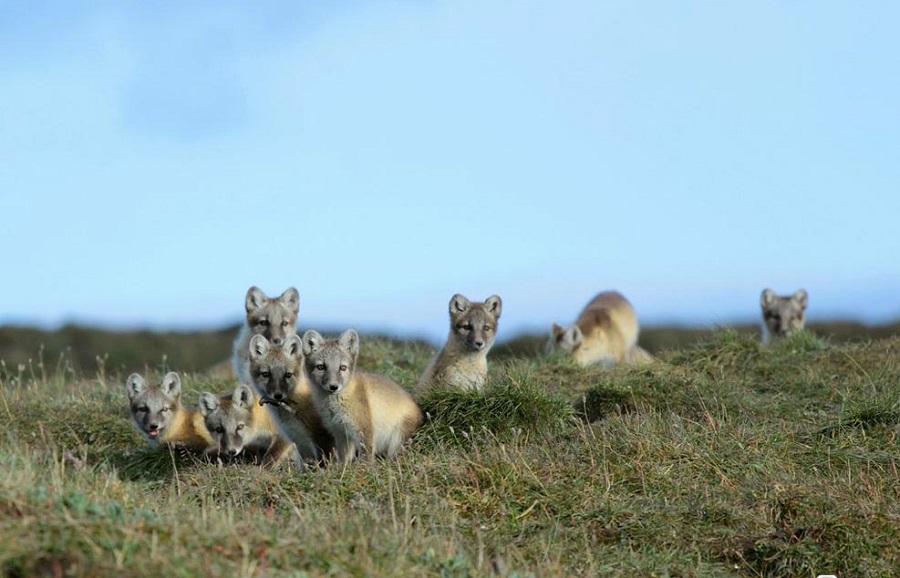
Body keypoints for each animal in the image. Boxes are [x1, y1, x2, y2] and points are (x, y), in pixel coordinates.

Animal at [302, 328, 422, 464]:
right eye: (321, 367)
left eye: (342, 367)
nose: (333, 387)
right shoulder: (341, 432)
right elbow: (343, 459)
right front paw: (341, 468)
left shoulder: (365, 429)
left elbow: (367, 457)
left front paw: (364, 468)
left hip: (397, 439)